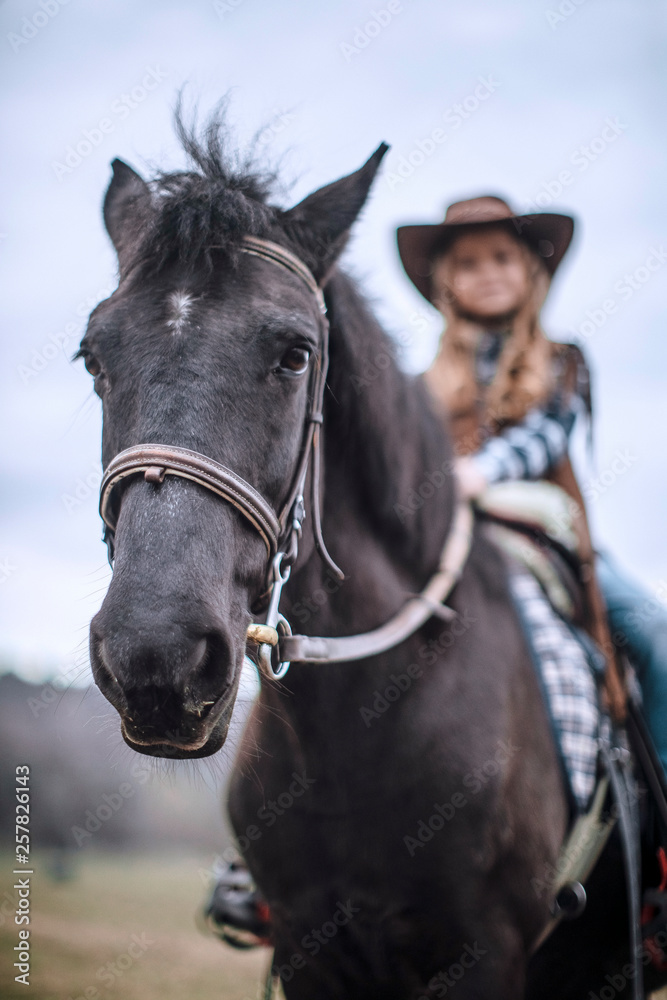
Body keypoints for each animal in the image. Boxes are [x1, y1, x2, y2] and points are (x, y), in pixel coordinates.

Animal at [78, 111, 654, 998]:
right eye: (93, 358)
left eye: (294, 354)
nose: (155, 657)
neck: (358, 729)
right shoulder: (310, 951)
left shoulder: (483, 955)